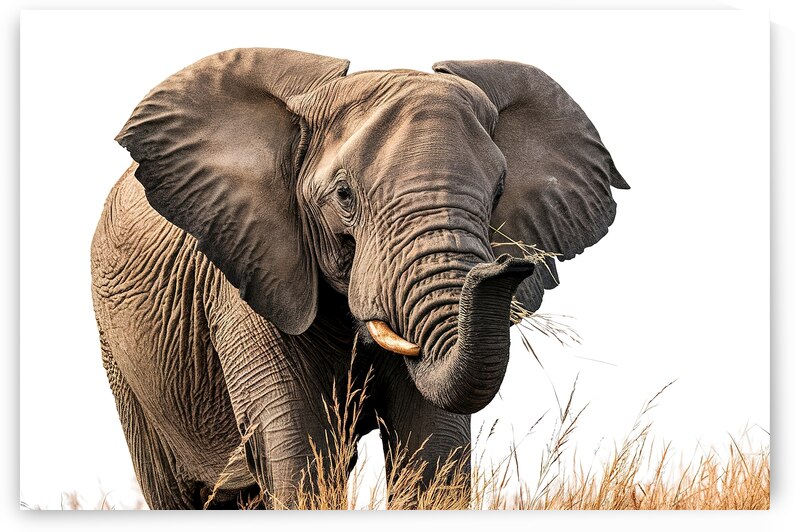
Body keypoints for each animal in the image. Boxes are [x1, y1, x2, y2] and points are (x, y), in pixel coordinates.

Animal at [90, 48, 628, 509]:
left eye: (498, 192)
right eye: (344, 196)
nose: (509, 267)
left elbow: (433, 447)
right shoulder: (250, 275)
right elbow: (302, 450)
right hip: (126, 365)